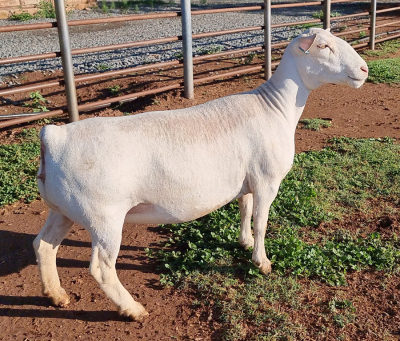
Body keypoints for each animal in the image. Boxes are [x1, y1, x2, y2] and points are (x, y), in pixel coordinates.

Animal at [33, 28, 368, 318]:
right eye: (323, 46)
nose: (364, 69)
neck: (276, 107)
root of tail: (54, 137)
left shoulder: (247, 181)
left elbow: (245, 210)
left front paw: (244, 242)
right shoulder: (267, 180)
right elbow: (261, 222)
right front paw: (262, 262)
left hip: (62, 208)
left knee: (44, 245)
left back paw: (56, 295)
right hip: (104, 215)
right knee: (101, 268)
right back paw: (133, 310)